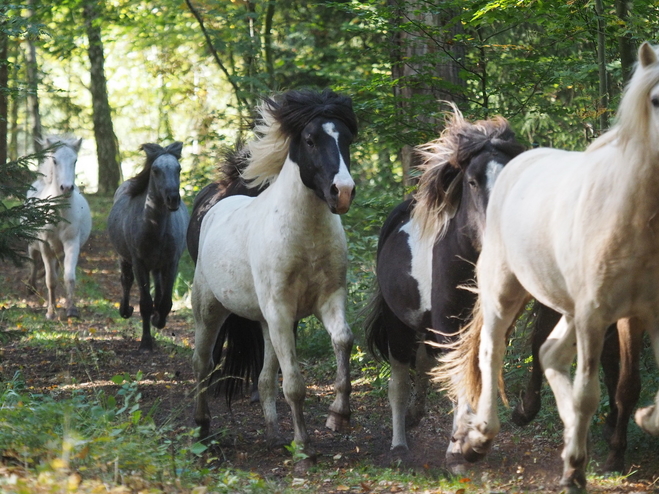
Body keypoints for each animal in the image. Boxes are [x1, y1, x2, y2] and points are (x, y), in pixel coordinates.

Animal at [25, 136, 91, 320]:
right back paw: (31, 287)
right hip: (33, 244)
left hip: (59, 250)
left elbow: (68, 276)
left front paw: (71, 310)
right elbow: (50, 280)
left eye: (75, 160)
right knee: (33, 263)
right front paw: (50, 311)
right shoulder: (45, 246)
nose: (67, 188)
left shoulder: (71, 243)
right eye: (55, 161)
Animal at [108, 142, 189, 352]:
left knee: (159, 288)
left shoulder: (172, 262)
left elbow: (165, 302)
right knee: (126, 280)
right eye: (155, 170)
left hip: (158, 265)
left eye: (179, 169)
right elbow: (145, 303)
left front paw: (158, 320)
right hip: (125, 258)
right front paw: (146, 343)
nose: (173, 199)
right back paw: (125, 309)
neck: (155, 227)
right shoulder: (139, 263)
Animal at [360, 105, 524, 466]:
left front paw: (476, 436)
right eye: (473, 181)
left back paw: (417, 415)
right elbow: (459, 375)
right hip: (399, 325)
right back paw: (399, 443)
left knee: (423, 364)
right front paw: (461, 446)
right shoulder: (448, 326)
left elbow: (481, 368)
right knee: (399, 382)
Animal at [436, 40, 659, 492]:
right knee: (498, 350)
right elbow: (609, 386)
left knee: (560, 352)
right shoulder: (606, 314)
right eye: (656, 100)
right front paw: (592, 459)